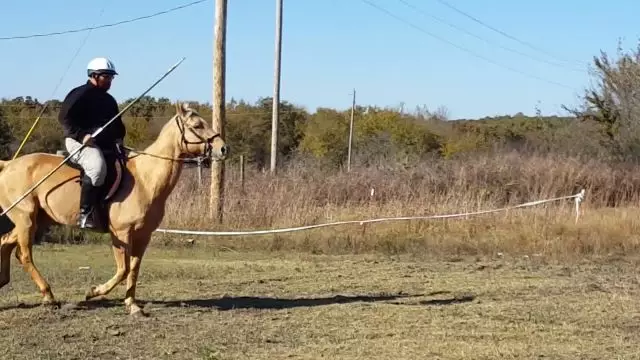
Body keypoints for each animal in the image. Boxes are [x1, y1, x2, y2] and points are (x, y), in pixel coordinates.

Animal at [0, 102, 229, 316]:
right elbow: (123, 269)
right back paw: (48, 295)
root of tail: (8, 164)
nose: (223, 149)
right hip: (26, 219)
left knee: (7, 243)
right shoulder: (120, 233)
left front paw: (132, 305)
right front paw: (93, 291)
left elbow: (134, 269)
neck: (145, 179)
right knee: (25, 255)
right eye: (197, 125)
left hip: (37, 219)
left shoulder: (143, 235)